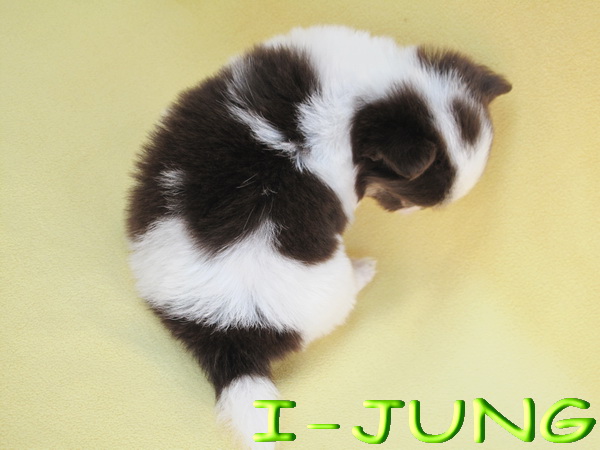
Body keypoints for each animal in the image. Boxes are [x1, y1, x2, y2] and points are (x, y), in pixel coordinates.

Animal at [126, 25, 511, 448]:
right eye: (404, 196)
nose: (409, 212)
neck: (360, 104)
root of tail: (226, 331)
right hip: (328, 289)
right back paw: (363, 269)